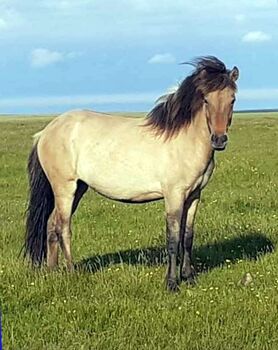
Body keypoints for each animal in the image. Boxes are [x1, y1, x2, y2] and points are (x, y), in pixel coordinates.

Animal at [24, 56, 239, 292]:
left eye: (232, 100)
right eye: (206, 100)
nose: (219, 140)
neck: (183, 140)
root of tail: (46, 132)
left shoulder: (193, 195)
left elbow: (188, 237)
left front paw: (189, 277)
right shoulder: (174, 196)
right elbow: (173, 239)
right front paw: (172, 283)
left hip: (78, 188)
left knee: (51, 225)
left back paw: (52, 271)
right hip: (65, 188)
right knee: (63, 227)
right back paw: (72, 272)